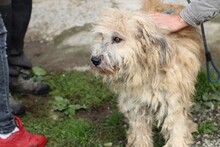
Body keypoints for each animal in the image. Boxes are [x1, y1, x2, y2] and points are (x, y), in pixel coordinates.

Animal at [90, 0, 202, 146]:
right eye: (101, 36)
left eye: (117, 39)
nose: (94, 60)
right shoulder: (135, 107)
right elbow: (140, 134)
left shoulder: (173, 105)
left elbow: (176, 131)